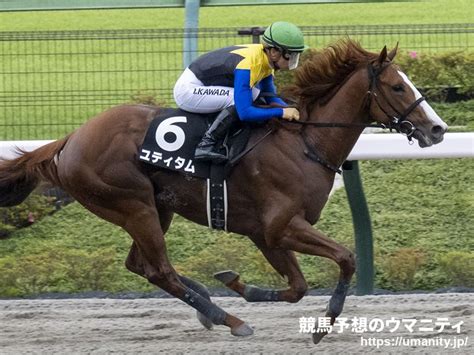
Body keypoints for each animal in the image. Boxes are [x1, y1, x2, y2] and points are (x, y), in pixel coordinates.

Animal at [0, 39, 446, 344]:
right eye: (398, 87)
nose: (438, 129)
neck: (304, 143)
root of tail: (70, 139)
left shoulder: (265, 233)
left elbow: (297, 287)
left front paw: (239, 284)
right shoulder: (282, 226)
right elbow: (346, 257)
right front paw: (324, 322)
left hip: (155, 208)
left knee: (141, 266)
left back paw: (208, 308)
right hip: (132, 205)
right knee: (159, 270)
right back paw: (229, 319)